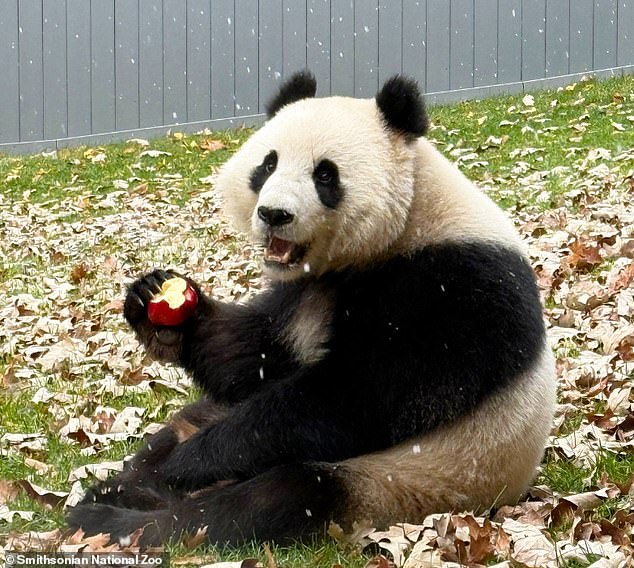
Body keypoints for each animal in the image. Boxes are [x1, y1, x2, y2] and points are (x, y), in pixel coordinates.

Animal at [68, 70, 552, 544]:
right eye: (268, 164)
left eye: (325, 175)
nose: (274, 214)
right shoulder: (300, 293)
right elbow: (257, 357)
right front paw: (160, 308)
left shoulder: (447, 291)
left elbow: (350, 395)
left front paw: (193, 461)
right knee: (179, 430)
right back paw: (118, 492)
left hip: (406, 480)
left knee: (270, 500)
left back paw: (124, 520)